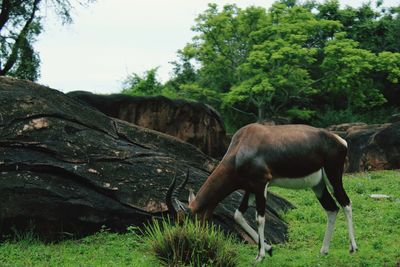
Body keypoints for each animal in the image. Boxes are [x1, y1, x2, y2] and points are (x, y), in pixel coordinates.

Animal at [166, 124, 356, 262]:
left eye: (184, 220)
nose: (186, 245)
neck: (242, 145)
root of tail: (341, 141)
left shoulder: (260, 184)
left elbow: (259, 218)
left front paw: (260, 256)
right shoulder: (250, 188)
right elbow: (238, 215)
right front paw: (269, 249)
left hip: (333, 177)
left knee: (346, 203)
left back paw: (353, 248)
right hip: (318, 185)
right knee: (332, 209)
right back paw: (323, 251)